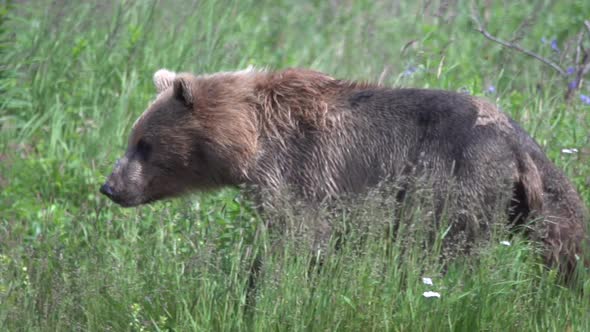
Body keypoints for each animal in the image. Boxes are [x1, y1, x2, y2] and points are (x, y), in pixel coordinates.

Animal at [99, 67, 588, 278]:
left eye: (143, 143)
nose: (110, 186)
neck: (249, 142)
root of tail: (517, 139)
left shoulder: (303, 171)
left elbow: (297, 237)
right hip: (529, 197)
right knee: (559, 237)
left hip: (457, 176)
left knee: (445, 245)